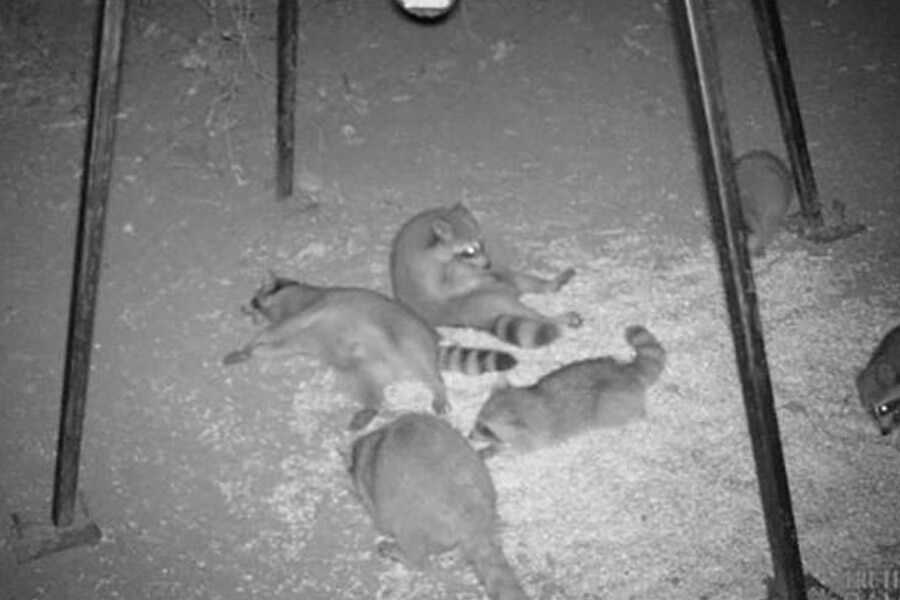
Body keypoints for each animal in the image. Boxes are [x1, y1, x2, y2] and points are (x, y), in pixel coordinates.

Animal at [223, 275, 516, 430]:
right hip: (362, 369)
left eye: (254, 300)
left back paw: (437, 387)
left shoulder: (314, 306)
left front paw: (253, 341)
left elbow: (280, 328)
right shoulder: (298, 341)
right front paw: (250, 351)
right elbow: (277, 348)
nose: (242, 308)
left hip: (405, 337)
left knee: (428, 371)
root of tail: (432, 343)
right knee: (368, 386)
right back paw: (373, 408)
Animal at [390, 203, 581, 349]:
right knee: (528, 313)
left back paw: (549, 284)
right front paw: (479, 276)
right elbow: (445, 287)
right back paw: (555, 318)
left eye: (482, 242)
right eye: (469, 251)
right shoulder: (424, 269)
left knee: (518, 278)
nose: (488, 264)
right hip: (481, 302)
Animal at [471, 326, 665, 454]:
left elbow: (519, 450)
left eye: (485, 429)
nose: (470, 436)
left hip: (613, 406)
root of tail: (626, 372)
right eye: (477, 421)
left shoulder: (534, 436)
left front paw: (495, 449)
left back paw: (640, 415)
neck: (527, 399)